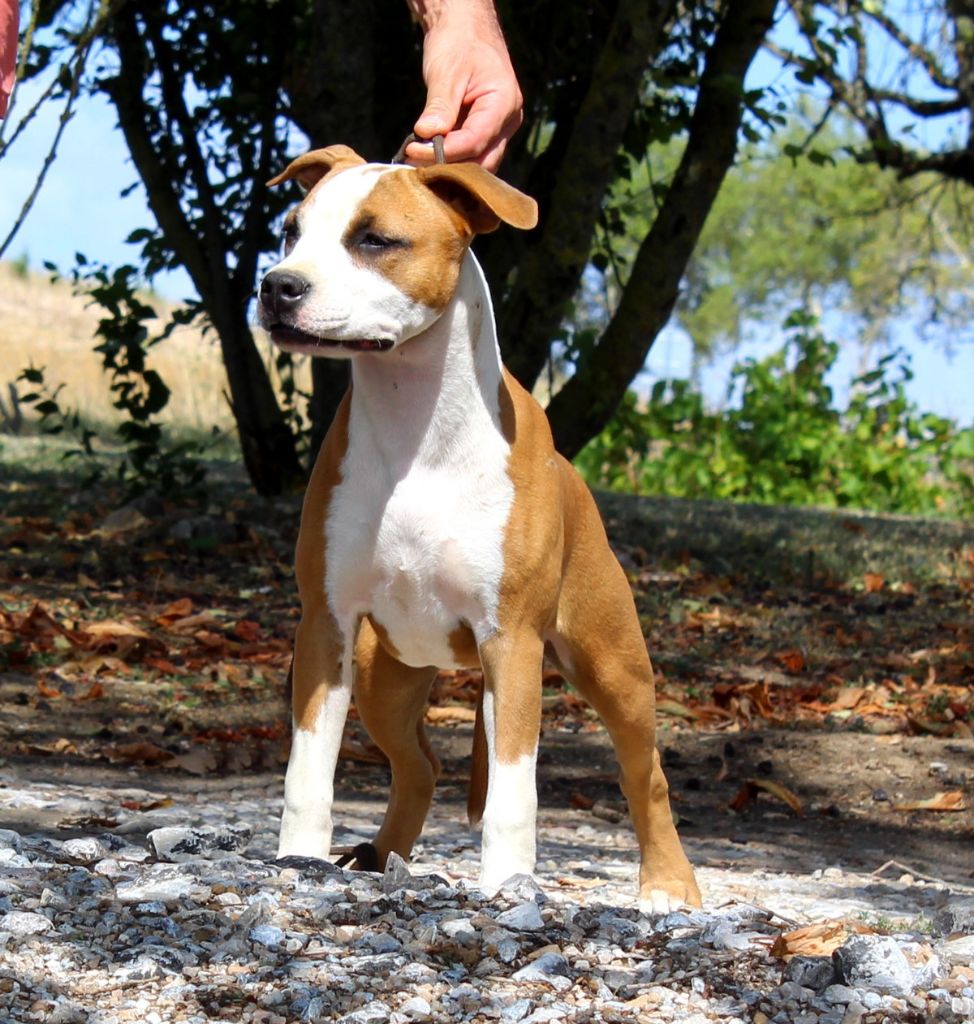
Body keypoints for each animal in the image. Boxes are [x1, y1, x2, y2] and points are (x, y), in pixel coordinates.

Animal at [257, 146, 700, 913]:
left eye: (374, 239)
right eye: (290, 232)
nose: (277, 285)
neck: (415, 423)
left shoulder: (512, 640)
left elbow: (514, 787)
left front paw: (507, 885)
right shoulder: (325, 625)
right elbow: (308, 766)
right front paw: (297, 863)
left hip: (614, 669)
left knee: (645, 774)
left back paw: (669, 885)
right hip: (382, 676)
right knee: (421, 765)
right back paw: (379, 856)